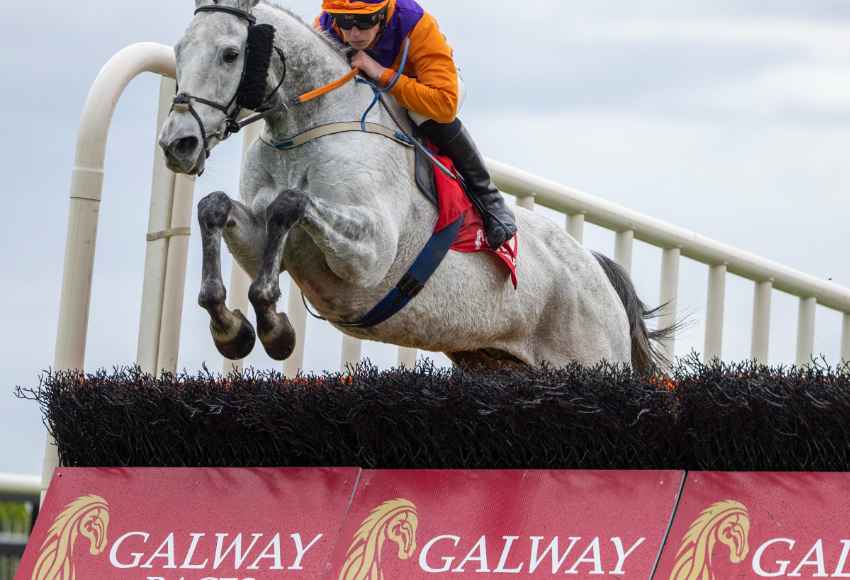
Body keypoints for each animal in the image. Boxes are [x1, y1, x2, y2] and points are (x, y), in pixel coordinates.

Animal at [156, 0, 664, 372]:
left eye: (230, 53)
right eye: (179, 50)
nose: (177, 143)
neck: (303, 131)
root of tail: (597, 272)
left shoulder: (370, 254)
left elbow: (291, 202)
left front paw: (275, 329)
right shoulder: (262, 236)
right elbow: (215, 207)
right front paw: (232, 328)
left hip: (589, 360)